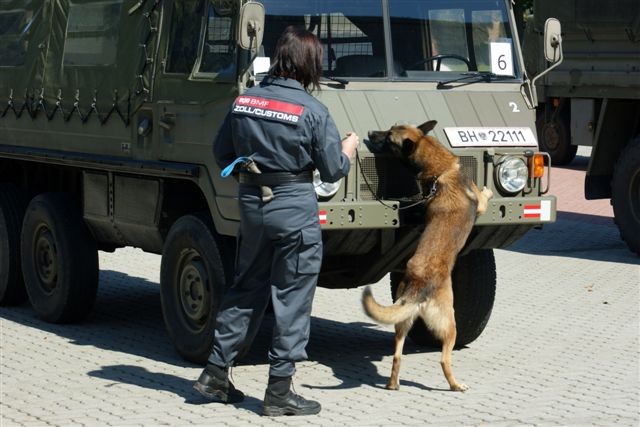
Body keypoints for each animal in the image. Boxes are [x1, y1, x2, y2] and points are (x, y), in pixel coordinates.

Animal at [362, 118, 492, 392]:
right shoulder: (480, 205)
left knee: (397, 355)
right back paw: (456, 385)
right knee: (443, 359)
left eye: (389, 134)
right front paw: (487, 190)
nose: (369, 133)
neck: (441, 170)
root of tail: (418, 288)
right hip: (449, 324)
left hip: (403, 322)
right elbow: (484, 197)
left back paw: (393, 384)